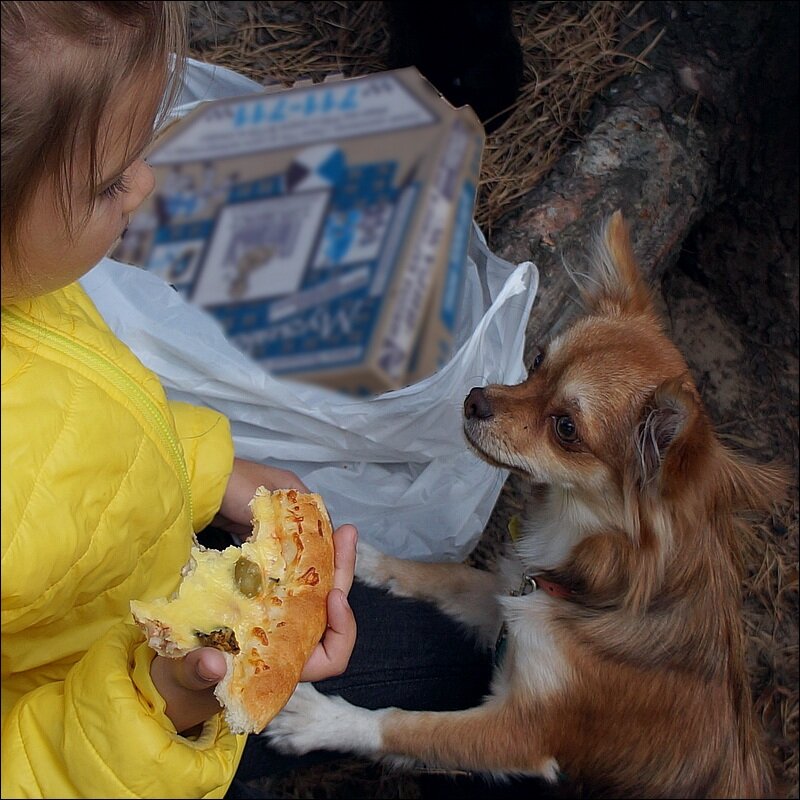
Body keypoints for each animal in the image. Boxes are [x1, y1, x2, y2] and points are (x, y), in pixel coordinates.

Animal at [266, 209, 784, 796]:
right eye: (536, 361)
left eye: (566, 429)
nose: (473, 399)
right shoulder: (506, 600)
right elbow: (444, 575)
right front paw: (362, 558)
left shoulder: (521, 731)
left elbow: (406, 725)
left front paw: (318, 719)